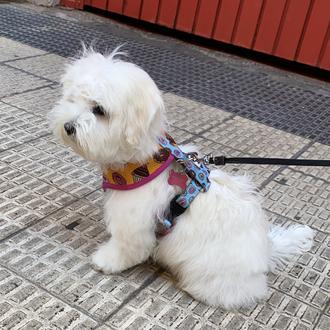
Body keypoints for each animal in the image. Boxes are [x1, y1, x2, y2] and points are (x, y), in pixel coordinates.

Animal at [49, 49, 314, 310]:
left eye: (99, 110)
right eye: (72, 99)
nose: (68, 126)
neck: (140, 164)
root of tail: (266, 251)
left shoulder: (135, 224)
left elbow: (128, 248)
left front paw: (105, 260)